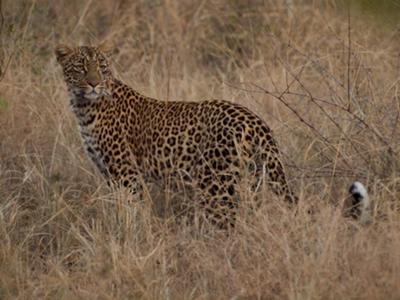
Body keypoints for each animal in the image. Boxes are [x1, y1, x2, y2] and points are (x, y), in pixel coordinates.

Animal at [56, 42, 298, 227]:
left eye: (102, 67)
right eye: (80, 68)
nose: (94, 83)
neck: (84, 107)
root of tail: (254, 120)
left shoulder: (127, 174)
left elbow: (132, 209)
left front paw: (131, 234)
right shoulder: (110, 174)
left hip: (215, 184)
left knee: (228, 223)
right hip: (254, 176)